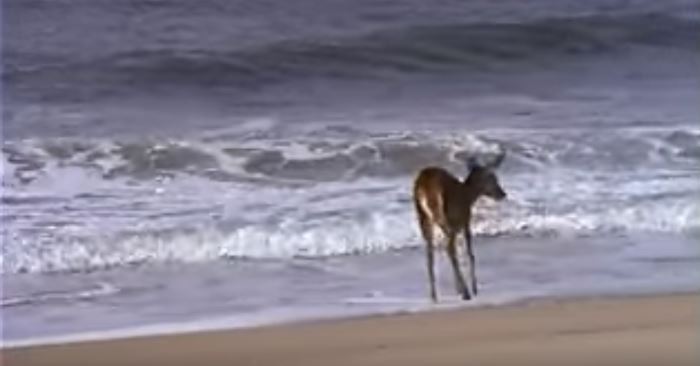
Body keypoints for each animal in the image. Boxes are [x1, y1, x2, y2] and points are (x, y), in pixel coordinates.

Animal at [412, 152, 506, 304]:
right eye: (492, 177)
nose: (502, 193)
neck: (468, 195)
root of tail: (423, 186)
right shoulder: (465, 220)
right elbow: (469, 252)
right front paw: (474, 288)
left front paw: (459, 288)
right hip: (446, 217)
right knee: (448, 248)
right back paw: (466, 292)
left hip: (424, 217)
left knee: (430, 253)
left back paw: (434, 296)